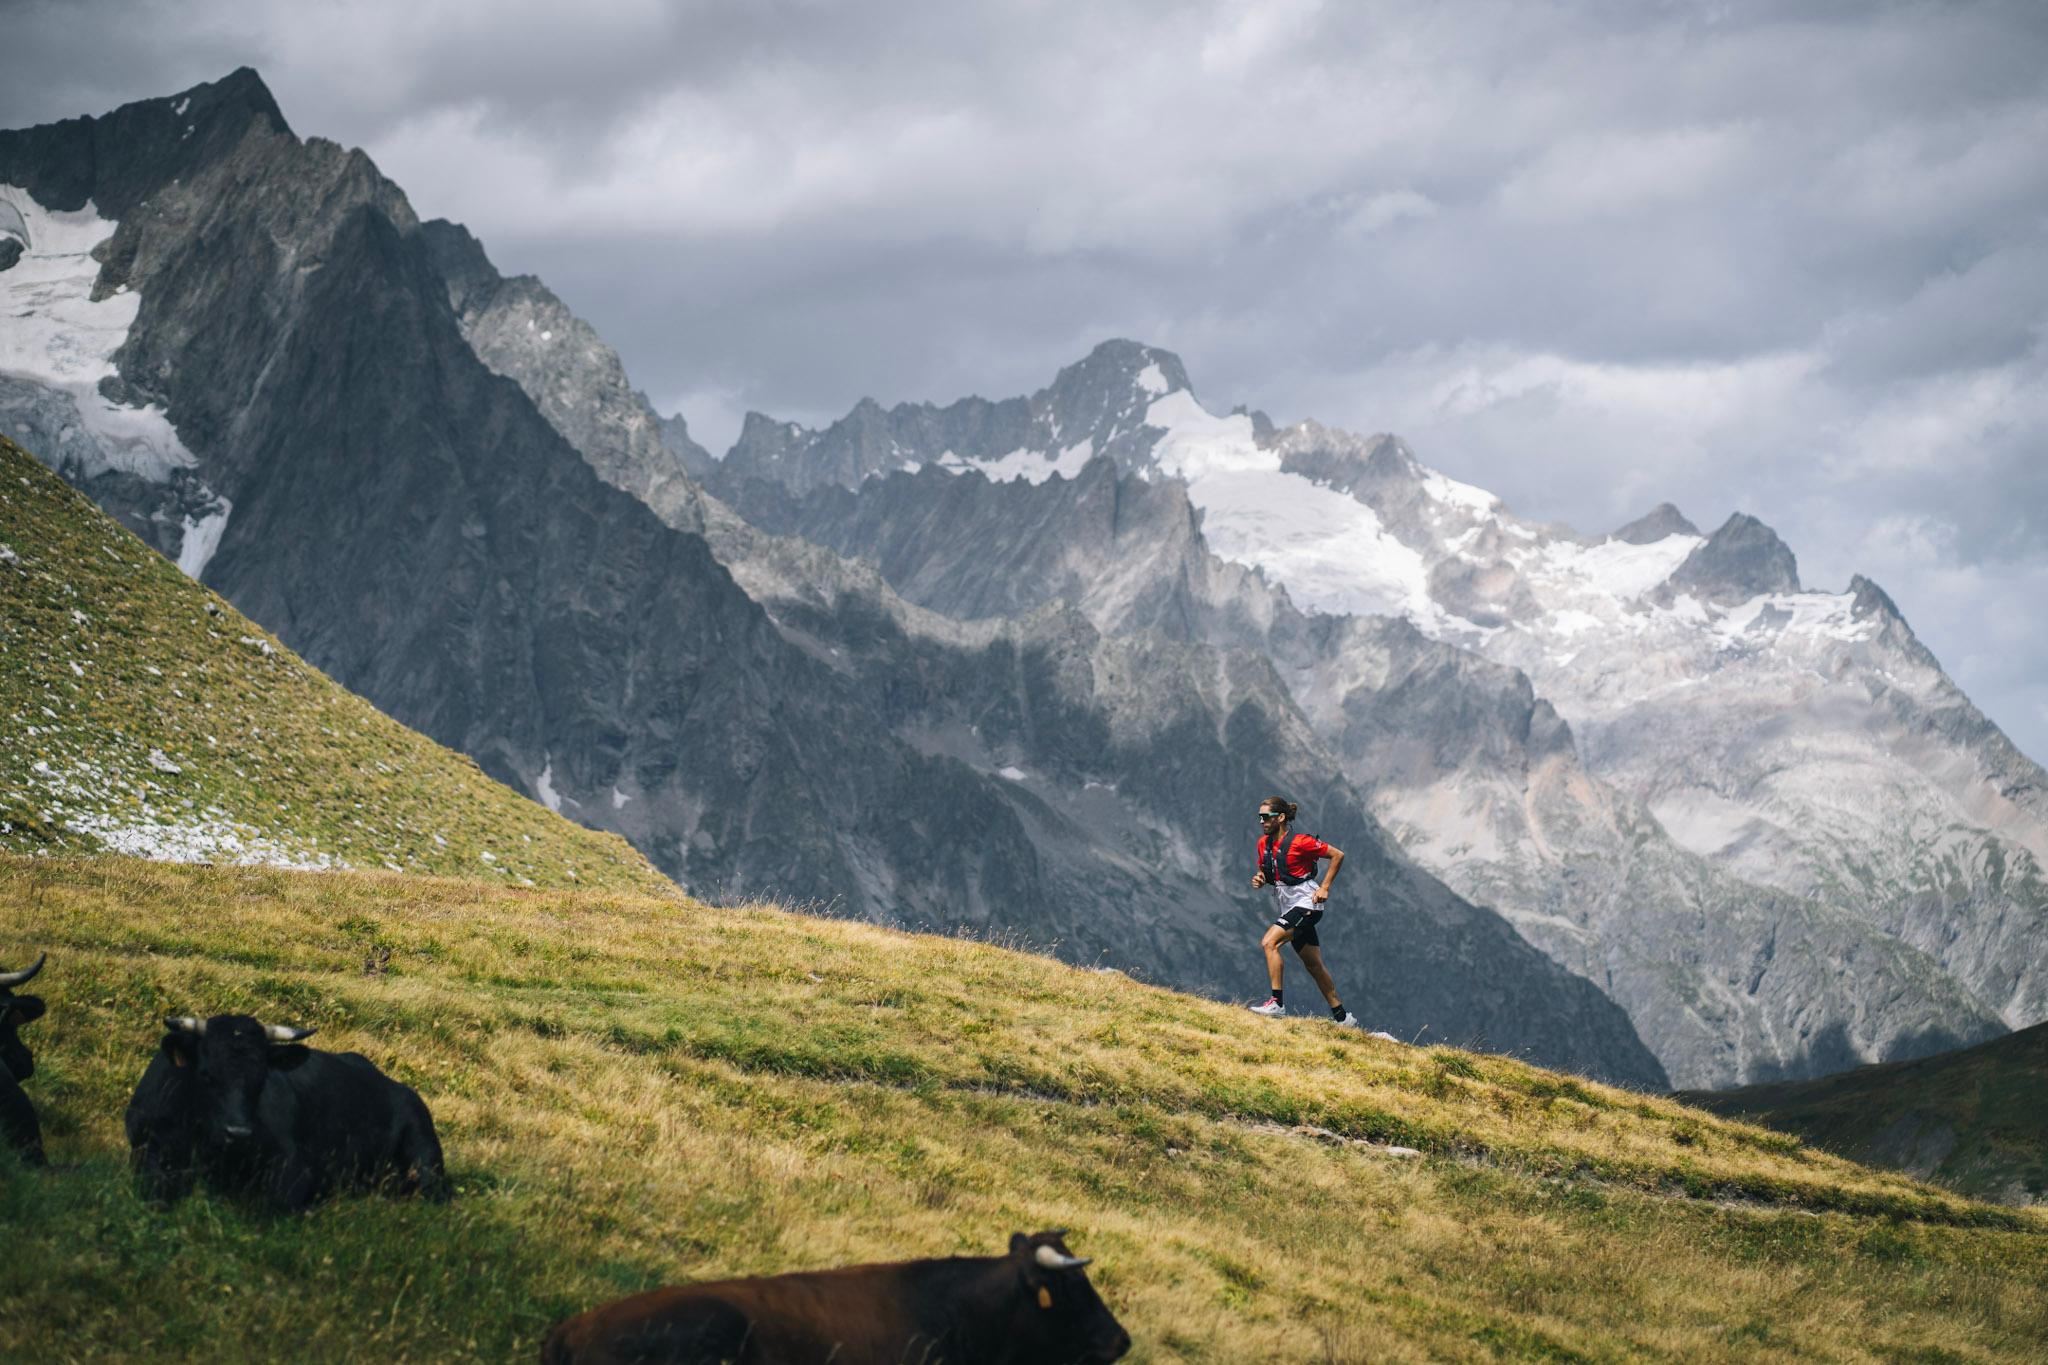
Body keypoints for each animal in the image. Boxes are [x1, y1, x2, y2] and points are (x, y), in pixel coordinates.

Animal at [123, 1015, 448, 1219]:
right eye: (206, 1075)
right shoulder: (145, 1150)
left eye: (261, 1078)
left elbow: (278, 1203)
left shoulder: (296, 1167)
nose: (238, 1133)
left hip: (425, 1154)